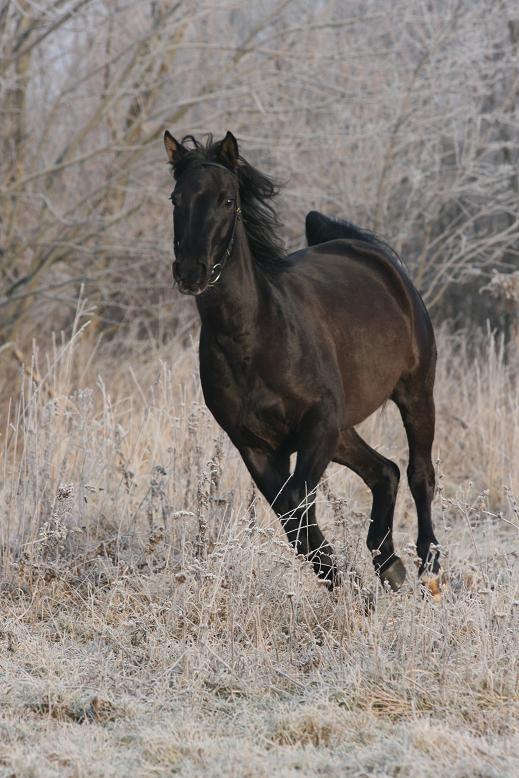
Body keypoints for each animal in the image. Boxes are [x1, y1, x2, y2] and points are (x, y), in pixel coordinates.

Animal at [165, 132, 440, 596]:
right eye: (175, 199)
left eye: (226, 199)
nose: (191, 272)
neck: (254, 338)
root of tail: (372, 254)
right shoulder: (257, 446)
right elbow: (291, 518)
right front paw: (342, 581)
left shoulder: (317, 424)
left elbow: (297, 505)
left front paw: (344, 581)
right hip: (342, 430)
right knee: (385, 471)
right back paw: (388, 564)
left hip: (414, 392)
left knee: (420, 472)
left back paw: (429, 567)